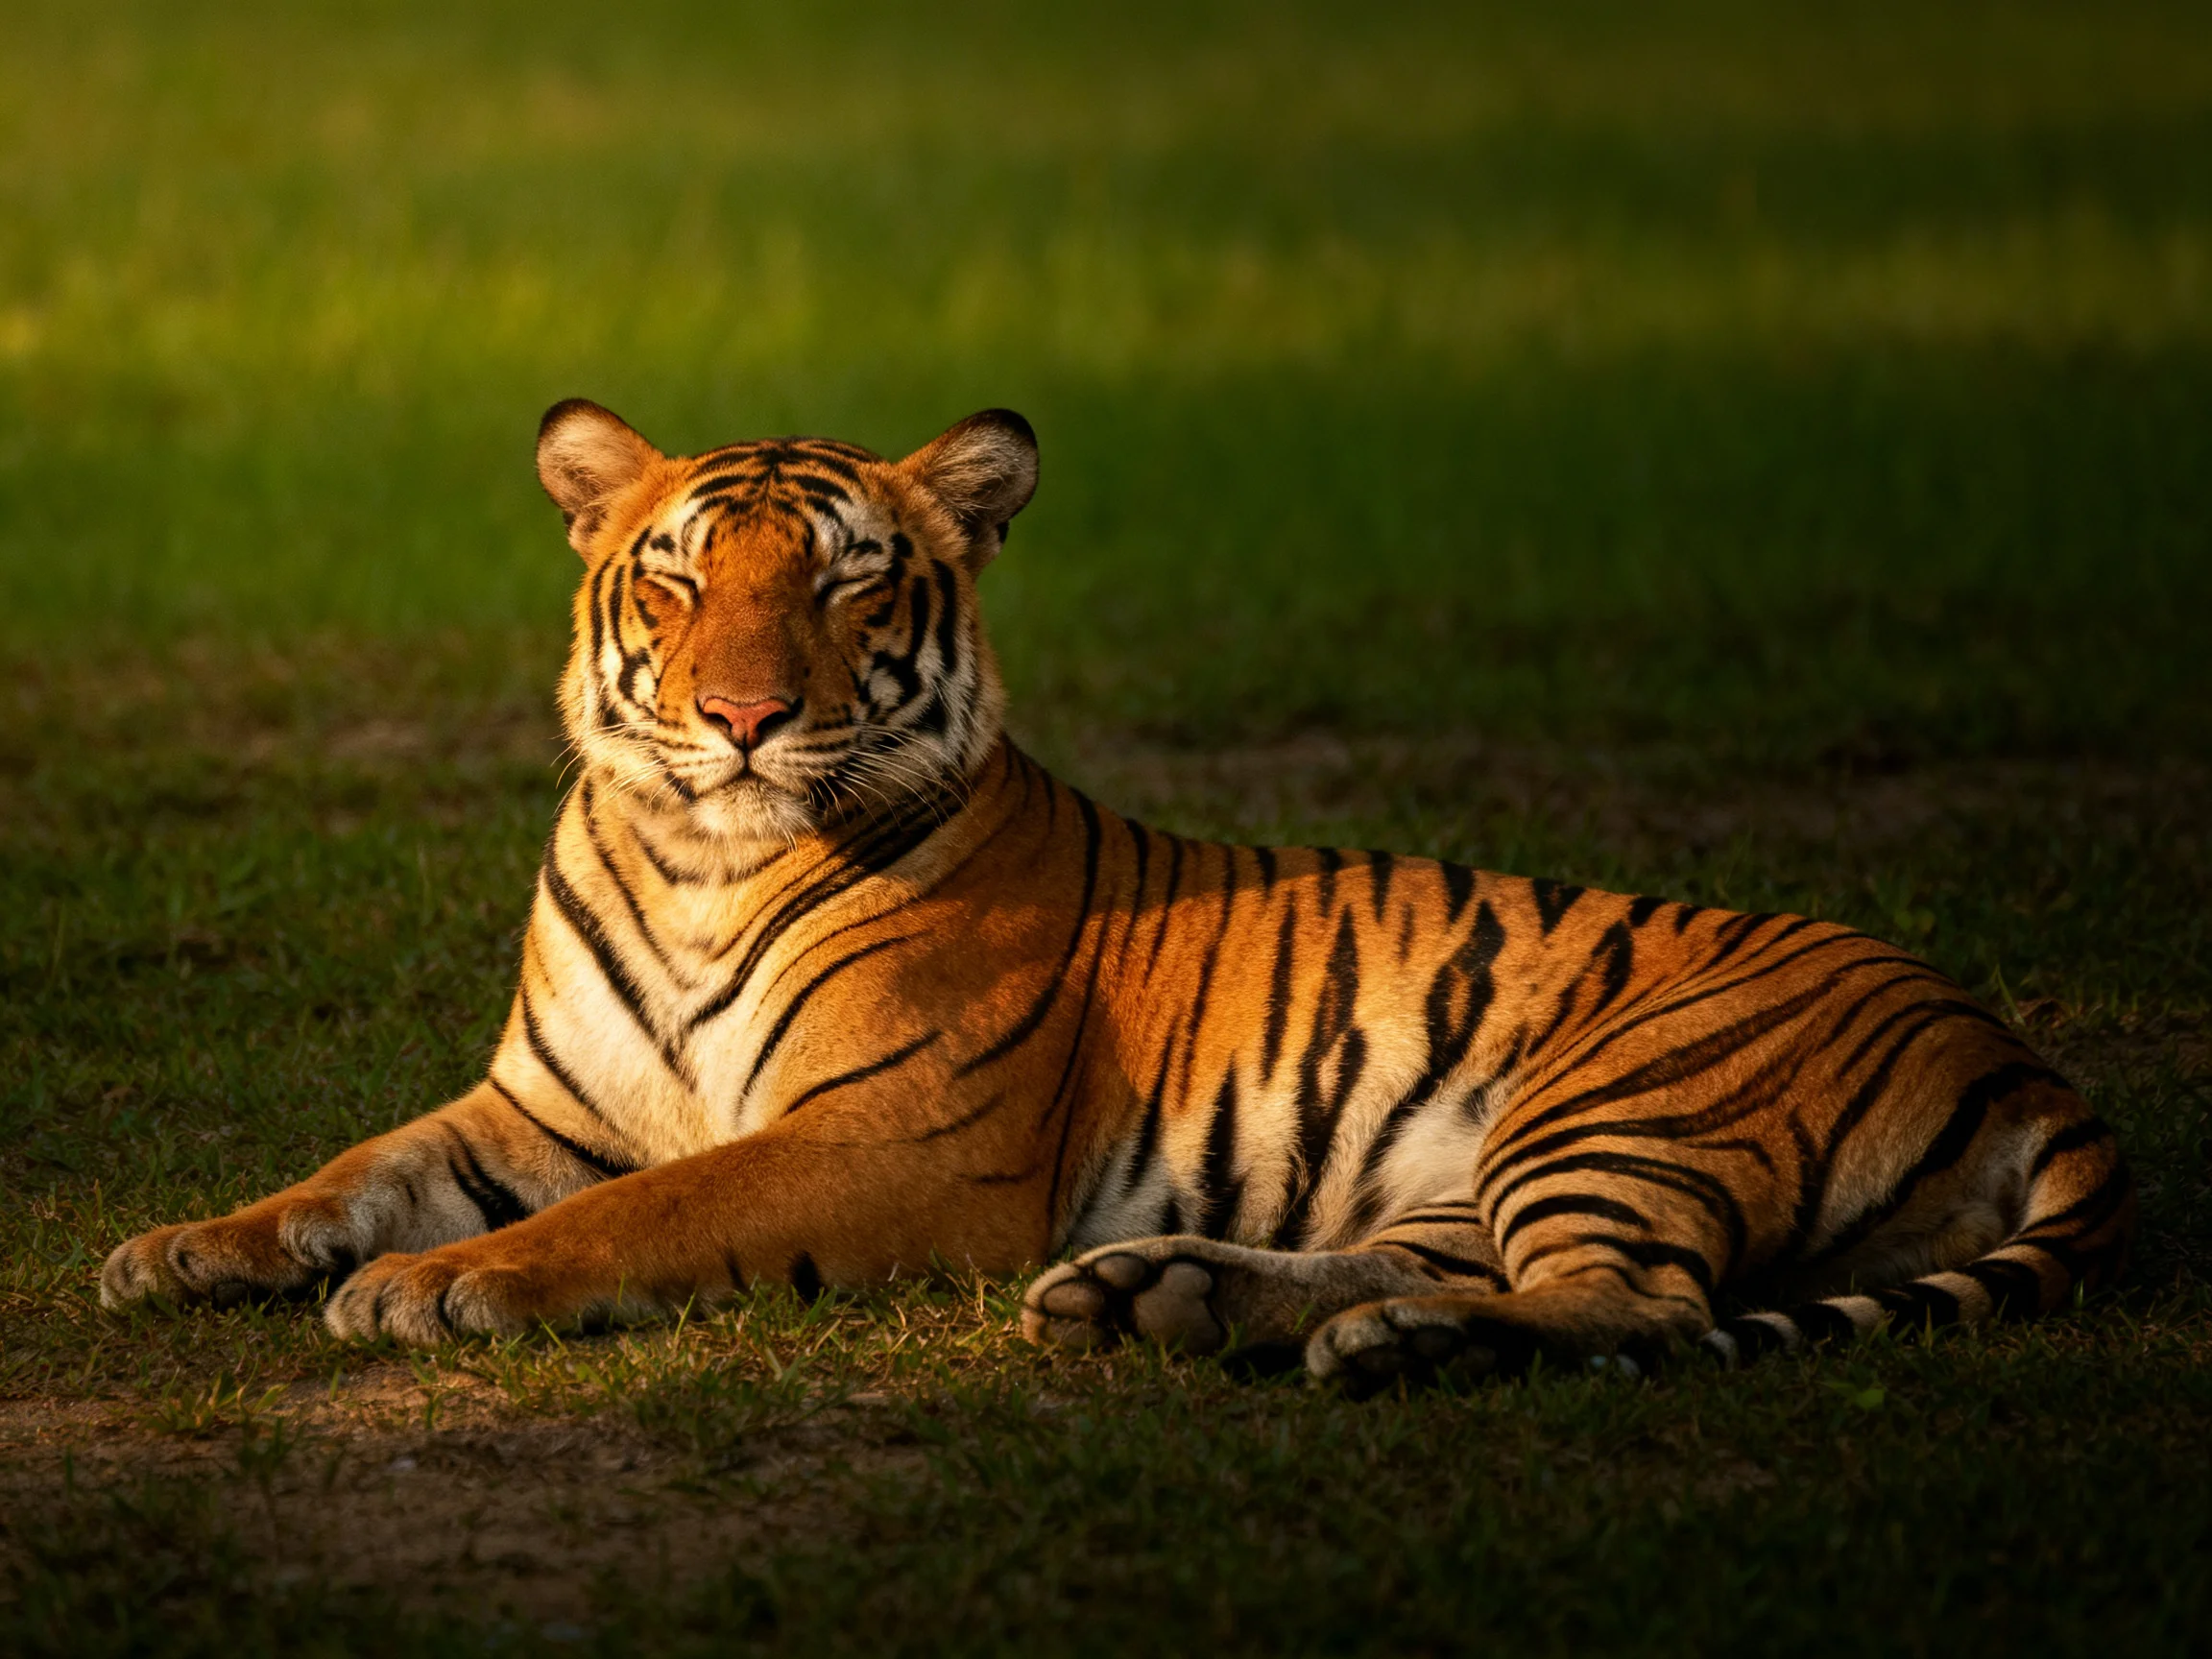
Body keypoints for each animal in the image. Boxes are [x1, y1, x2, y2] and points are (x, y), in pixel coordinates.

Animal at [99, 400, 2134, 1389]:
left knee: (1638, 1309)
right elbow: (351, 1167)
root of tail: (2012, 1044)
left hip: (1615, 1099)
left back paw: (1355, 1344)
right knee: (1485, 1265)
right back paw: (1170, 1299)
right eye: (676, 577)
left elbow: (645, 1212)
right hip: (1491, 1156)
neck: (696, 857)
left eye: (843, 578)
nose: (742, 716)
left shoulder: (894, 1142)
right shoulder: (540, 1102)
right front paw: (179, 1246)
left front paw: (442, 1288)